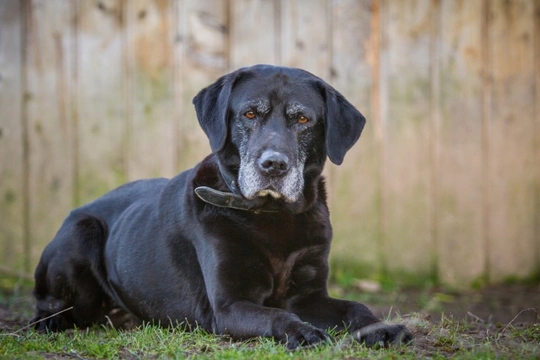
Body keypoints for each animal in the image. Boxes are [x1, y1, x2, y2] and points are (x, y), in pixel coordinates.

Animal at [31, 64, 412, 348]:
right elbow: (277, 315)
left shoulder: (308, 296)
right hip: (81, 235)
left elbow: (355, 306)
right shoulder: (228, 306)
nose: (273, 165)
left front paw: (381, 328)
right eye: (249, 113)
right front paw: (302, 331)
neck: (273, 217)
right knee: (48, 309)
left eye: (303, 120)